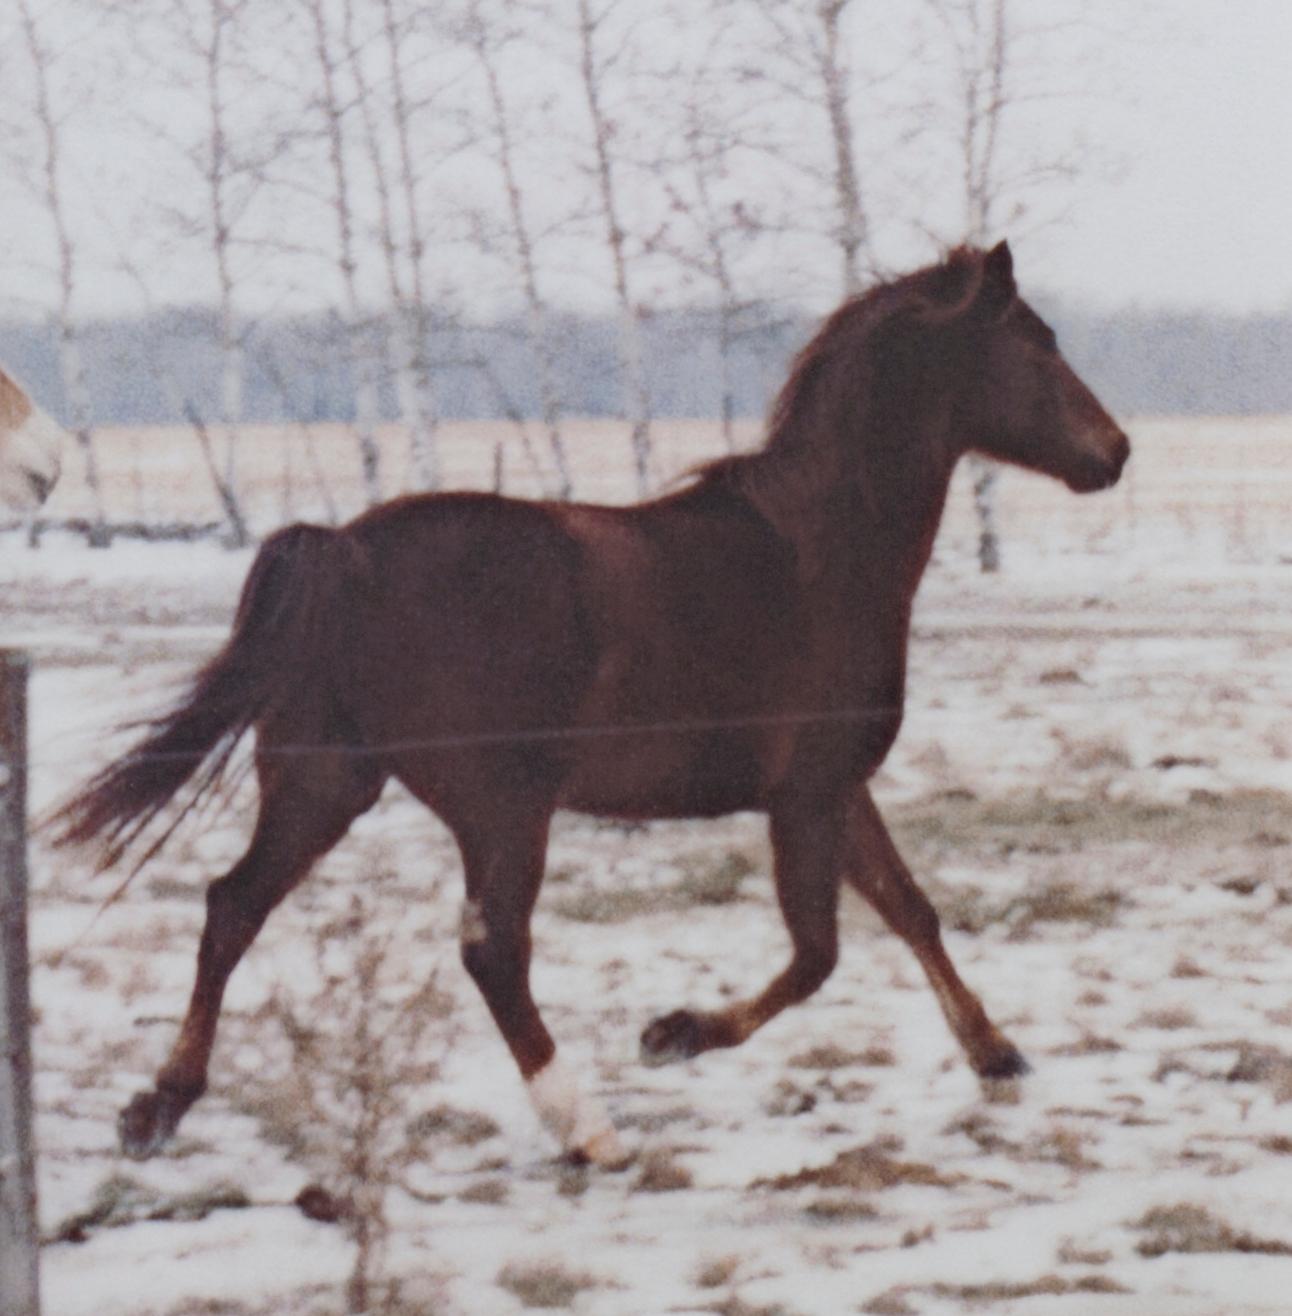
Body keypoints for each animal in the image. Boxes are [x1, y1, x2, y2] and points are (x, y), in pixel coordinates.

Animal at [60, 242, 1131, 1168]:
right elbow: (819, 953)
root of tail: (344, 549)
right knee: (492, 953)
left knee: (232, 904)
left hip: (327, 783)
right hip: (500, 808)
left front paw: (997, 1055)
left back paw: (158, 1107)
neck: (821, 552)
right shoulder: (807, 794)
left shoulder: (838, 789)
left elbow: (913, 911)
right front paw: (674, 1033)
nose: (1116, 453)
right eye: (1036, 342)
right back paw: (588, 1130)